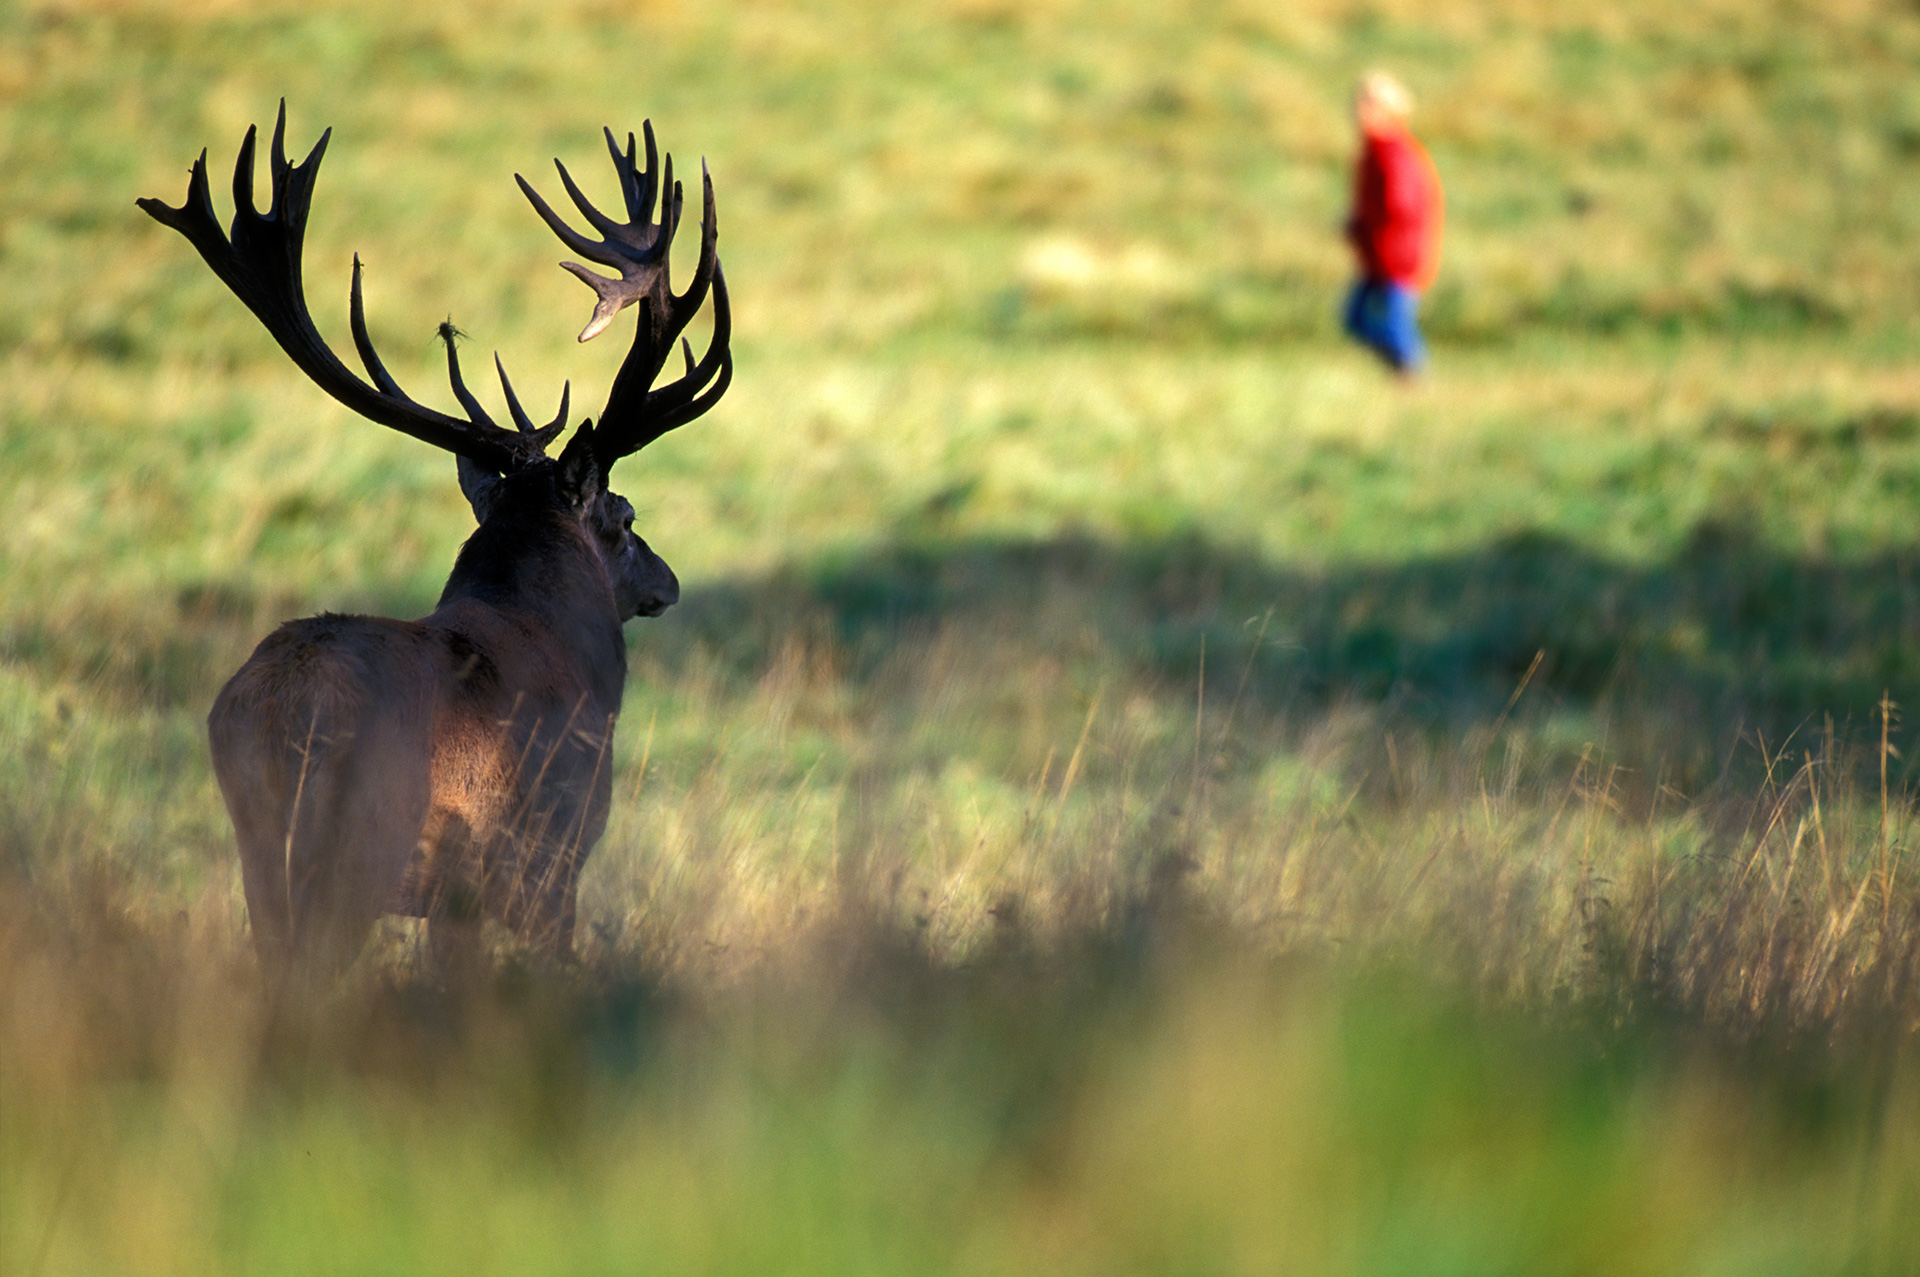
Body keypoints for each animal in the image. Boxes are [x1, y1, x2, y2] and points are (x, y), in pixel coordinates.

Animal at [139, 104, 729, 975]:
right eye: (625, 517)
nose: (668, 579)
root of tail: (282, 713)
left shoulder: (457, 904)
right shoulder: (557, 852)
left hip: (258, 857)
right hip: (358, 849)